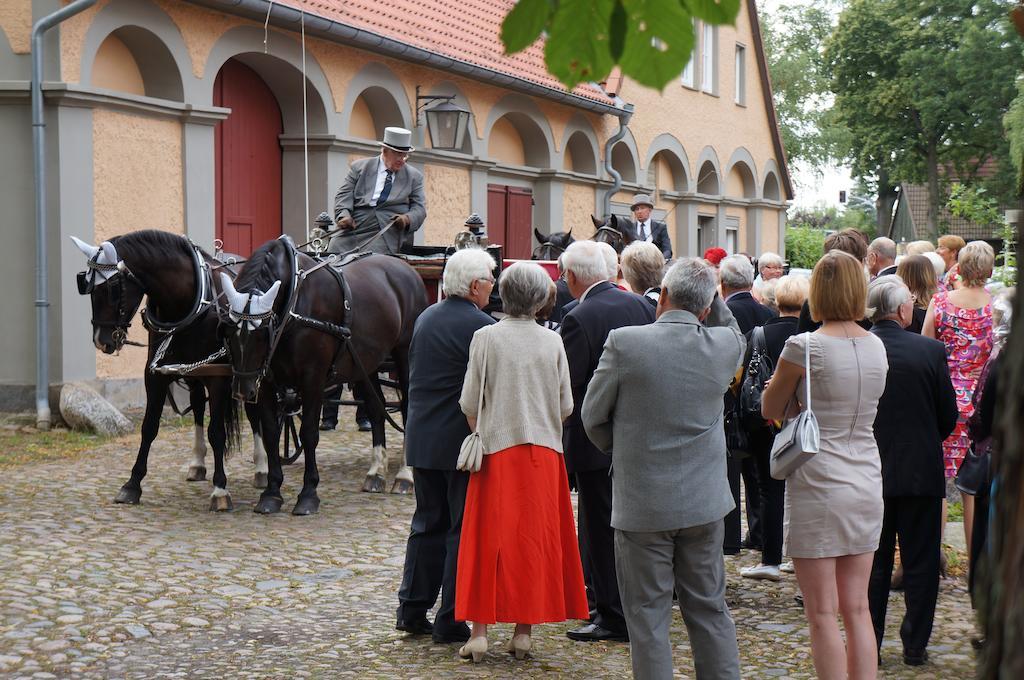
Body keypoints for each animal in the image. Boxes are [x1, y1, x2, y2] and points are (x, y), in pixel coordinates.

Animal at [71, 231, 264, 512]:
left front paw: (220, 489)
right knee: (197, 406)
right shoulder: (155, 375)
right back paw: (197, 463)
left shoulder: (218, 377)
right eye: (85, 285)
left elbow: (217, 432)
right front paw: (132, 484)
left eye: (113, 287)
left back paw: (262, 468)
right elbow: (149, 427)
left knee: (254, 413)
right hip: (195, 375)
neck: (190, 301)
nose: (101, 340)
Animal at [220, 238, 428, 516]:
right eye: (229, 332)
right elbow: (271, 432)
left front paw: (308, 494)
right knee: (376, 409)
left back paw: (405, 476)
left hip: (405, 356)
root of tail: (406, 269)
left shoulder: (313, 379)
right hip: (367, 362)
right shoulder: (265, 383)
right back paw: (376, 473)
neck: (294, 304)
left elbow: (309, 432)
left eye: (263, 332)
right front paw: (271, 493)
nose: (243, 391)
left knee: (407, 408)